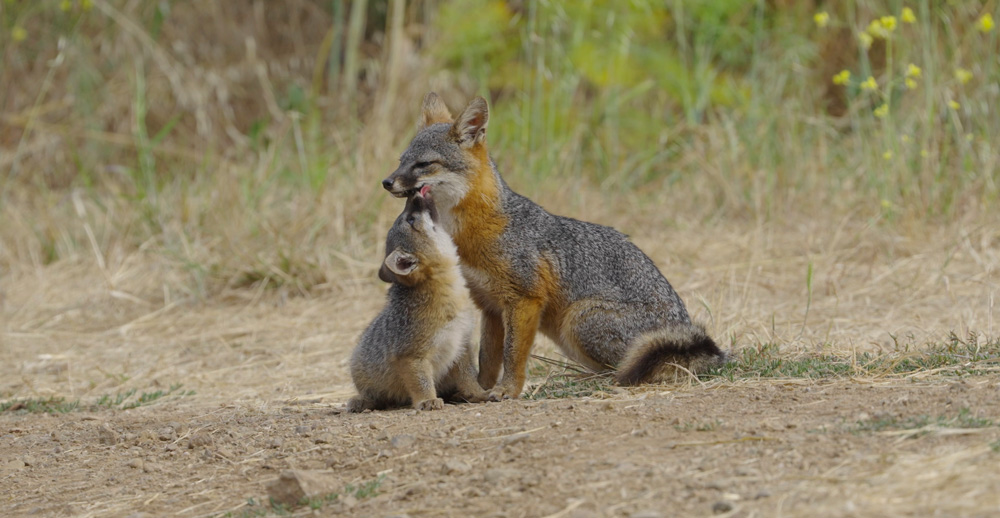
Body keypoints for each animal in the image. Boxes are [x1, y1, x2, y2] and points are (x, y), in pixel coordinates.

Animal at [347, 187, 487, 412]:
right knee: (376, 398)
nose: (413, 194)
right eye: (411, 220)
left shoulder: (461, 344)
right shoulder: (410, 355)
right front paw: (427, 400)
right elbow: (421, 382)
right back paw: (362, 401)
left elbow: (469, 377)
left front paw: (479, 394)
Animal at [380, 93, 726, 401]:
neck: (471, 233)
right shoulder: (490, 306)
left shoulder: (524, 298)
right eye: (401, 162)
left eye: (424, 164)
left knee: (629, 368)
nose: (386, 182)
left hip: (578, 319)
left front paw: (508, 390)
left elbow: (513, 354)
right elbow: (488, 359)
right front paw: (479, 390)